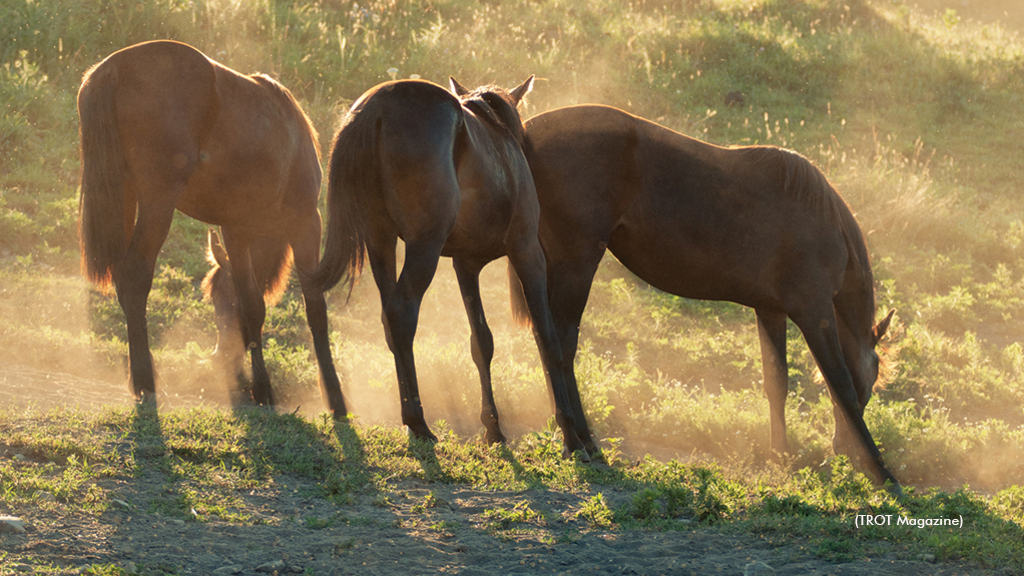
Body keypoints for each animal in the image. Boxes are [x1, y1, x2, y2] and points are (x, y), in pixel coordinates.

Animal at [76, 41, 348, 416]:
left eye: (219, 300)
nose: (222, 357)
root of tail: (114, 67)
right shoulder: (306, 224)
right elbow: (312, 307)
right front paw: (325, 396)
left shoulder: (236, 229)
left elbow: (254, 303)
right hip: (158, 200)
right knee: (134, 273)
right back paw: (146, 381)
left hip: (125, 195)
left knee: (122, 275)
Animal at [307, 77, 589, 457]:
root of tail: (379, 107)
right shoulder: (527, 252)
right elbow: (548, 339)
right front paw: (571, 435)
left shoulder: (465, 265)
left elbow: (481, 342)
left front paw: (493, 429)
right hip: (423, 246)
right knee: (402, 314)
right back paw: (417, 421)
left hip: (380, 240)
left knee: (390, 320)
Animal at [512, 103, 897, 487]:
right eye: (871, 379)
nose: (843, 449)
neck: (823, 223)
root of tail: (527, 132)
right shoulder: (814, 311)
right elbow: (840, 384)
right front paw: (881, 469)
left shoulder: (770, 310)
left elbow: (777, 382)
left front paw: (781, 455)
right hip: (578, 264)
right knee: (562, 346)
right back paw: (578, 441)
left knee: (549, 343)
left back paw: (578, 439)